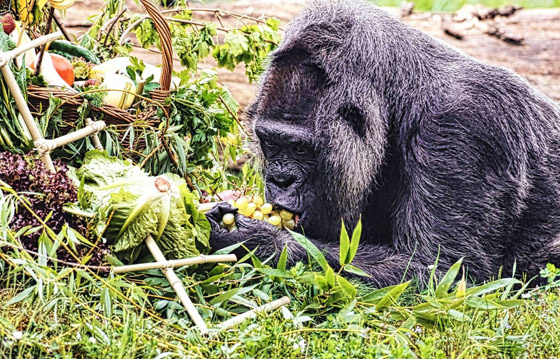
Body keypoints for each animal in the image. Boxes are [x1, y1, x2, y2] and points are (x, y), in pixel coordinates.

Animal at [207, 0, 560, 286]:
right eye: (270, 143)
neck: (400, 96)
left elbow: (444, 273)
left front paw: (258, 240)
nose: (280, 180)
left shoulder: (463, 126)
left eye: (299, 148)